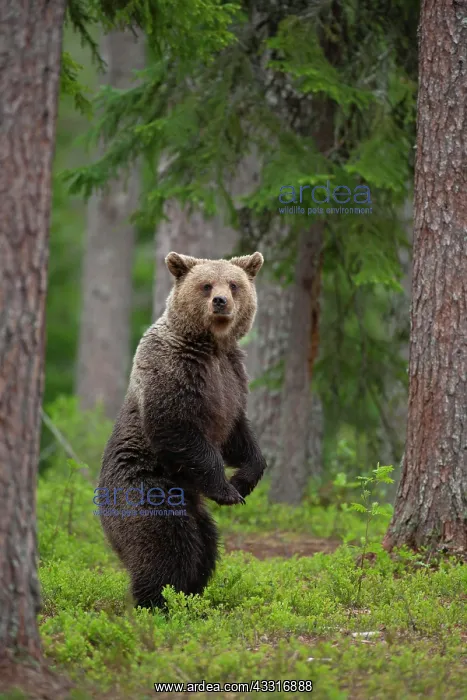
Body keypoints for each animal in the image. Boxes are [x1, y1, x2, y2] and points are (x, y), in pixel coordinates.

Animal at [96, 251, 267, 609]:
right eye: (206, 285)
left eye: (233, 284)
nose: (220, 301)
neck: (211, 346)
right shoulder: (173, 371)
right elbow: (177, 428)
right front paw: (227, 490)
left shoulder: (232, 379)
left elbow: (238, 434)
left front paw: (242, 481)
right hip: (149, 490)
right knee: (168, 546)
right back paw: (157, 600)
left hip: (194, 509)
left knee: (205, 547)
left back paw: (189, 596)